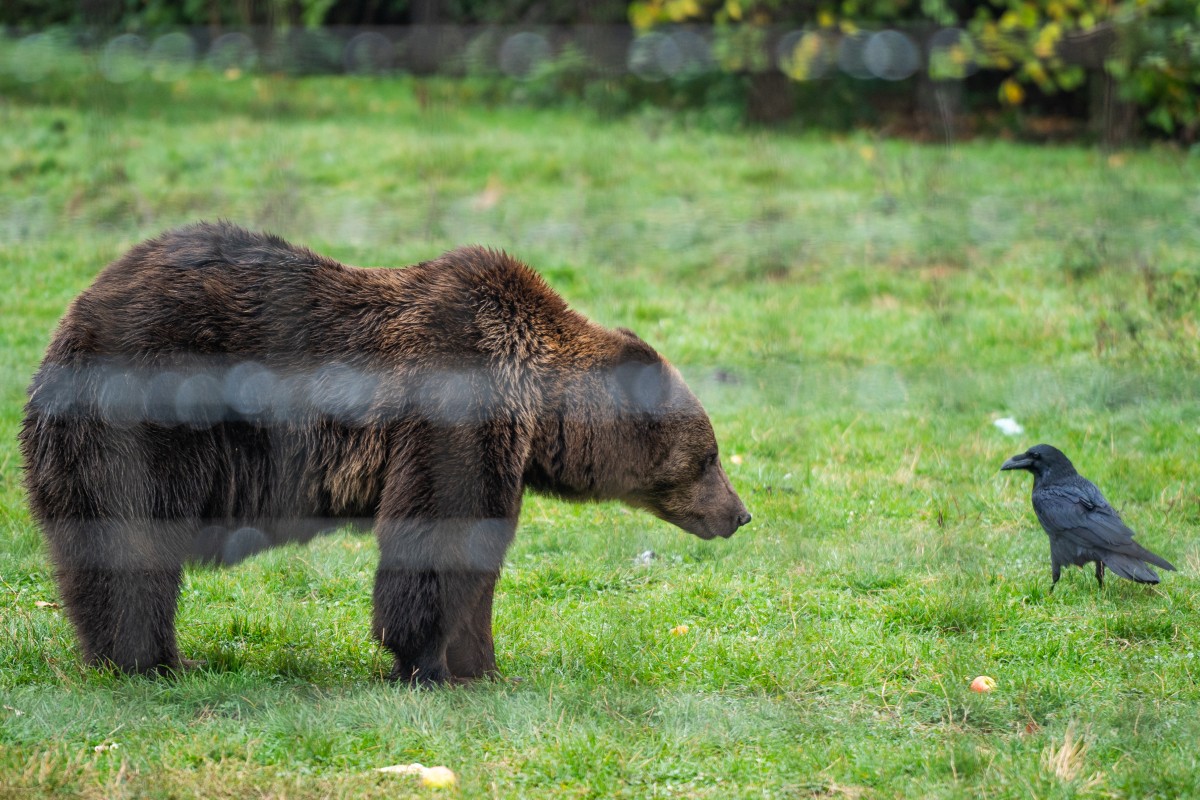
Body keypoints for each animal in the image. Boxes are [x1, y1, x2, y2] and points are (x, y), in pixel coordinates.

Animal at [19, 221, 752, 684]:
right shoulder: (455, 408)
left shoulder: (501, 454)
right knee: (132, 547)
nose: (740, 514)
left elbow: (478, 560)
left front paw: (484, 666)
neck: (537, 404)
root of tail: (69, 322)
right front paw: (428, 664)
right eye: (711, 456)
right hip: (147, 416)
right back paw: (155, 660)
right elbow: (432, 542)